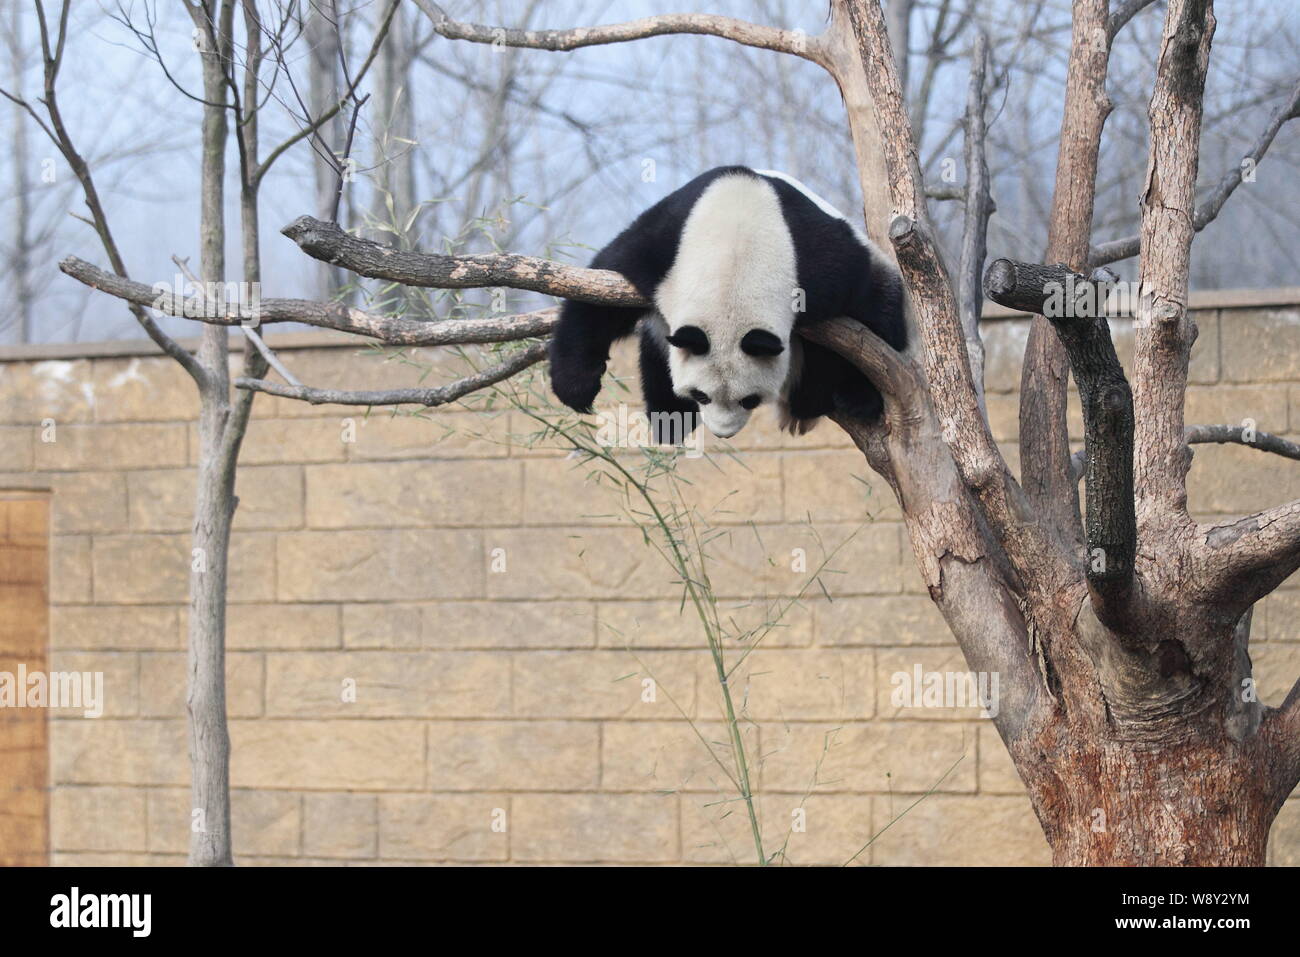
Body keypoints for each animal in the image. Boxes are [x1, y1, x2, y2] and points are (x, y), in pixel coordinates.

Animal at [546, 165, 904, 442]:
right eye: (700, 394)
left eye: (750, 400)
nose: (722, 433)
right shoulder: (662, 245)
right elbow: (598, 296)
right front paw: (577, 387)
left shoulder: (821, 268)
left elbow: (867, 314)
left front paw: (859, 394)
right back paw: (670, 417)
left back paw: (824, 401)